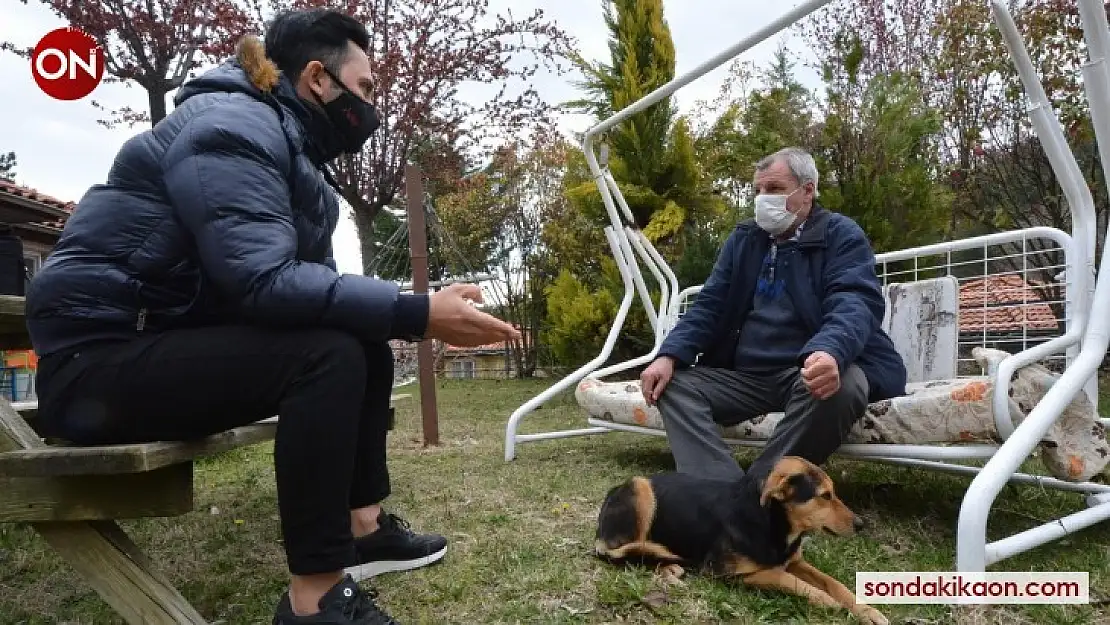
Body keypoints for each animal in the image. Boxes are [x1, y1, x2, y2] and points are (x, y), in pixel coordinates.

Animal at [594, 455, 888, 625]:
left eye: (833, 493)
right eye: (824, 496)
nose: (861, 524)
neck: (771, 523)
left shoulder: (794, 561)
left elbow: (835, 583)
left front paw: (867, 610)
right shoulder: (727, 573)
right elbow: (785, 578)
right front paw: (827, 602)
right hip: (639, 488)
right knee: (623, 549)